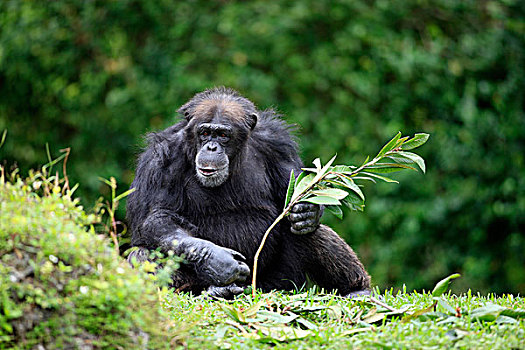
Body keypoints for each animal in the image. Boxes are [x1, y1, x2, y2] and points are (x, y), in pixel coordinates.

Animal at [125, 86, 370, 296]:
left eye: (223, 135)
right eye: (204, 132)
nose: (211, 147)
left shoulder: (278, 145)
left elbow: (292, 190)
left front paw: (308, 210)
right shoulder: (161, 160)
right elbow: (157, 217)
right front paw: (218, 260)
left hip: (282, 283)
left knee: (308, 231)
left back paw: (357, 289)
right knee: (143, 254)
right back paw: (216, 291)